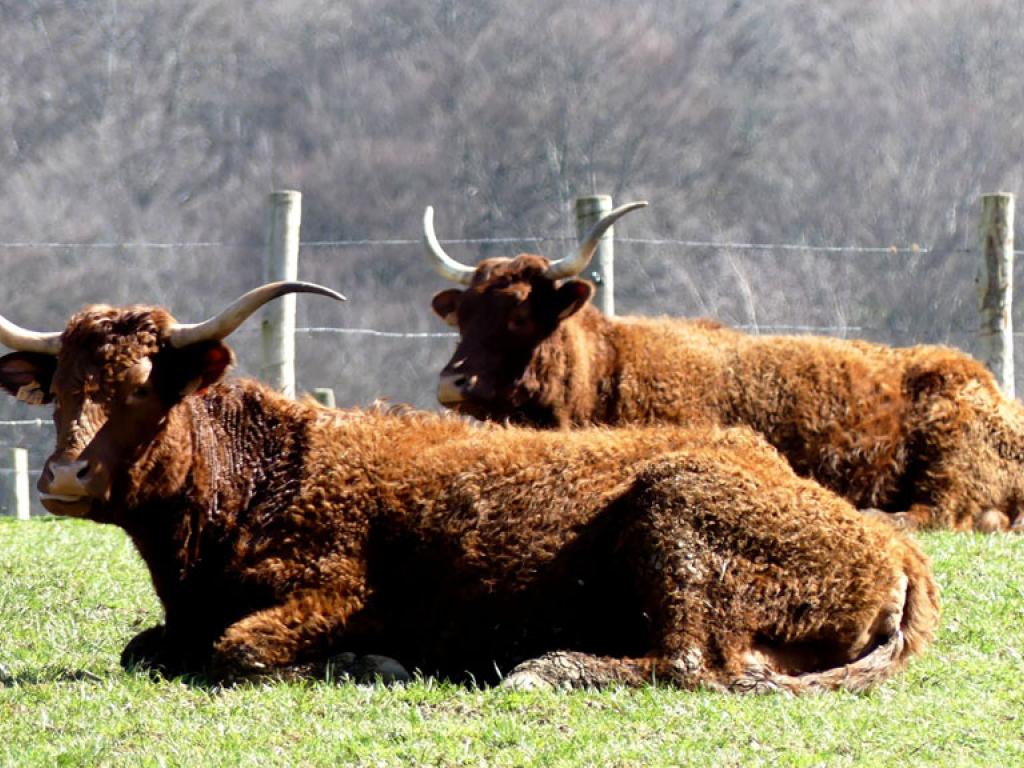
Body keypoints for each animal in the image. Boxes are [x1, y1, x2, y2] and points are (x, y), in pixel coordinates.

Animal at [0, 282, 937, 692]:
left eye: (146, 387)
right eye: (64, 389)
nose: (65, 475)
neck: (270, 474)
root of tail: (892, 548)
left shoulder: (333, 592)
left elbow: (240, 650)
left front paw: (371, 661)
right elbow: (147, 647)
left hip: (674, 519)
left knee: (691, 663)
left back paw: (549, 668)